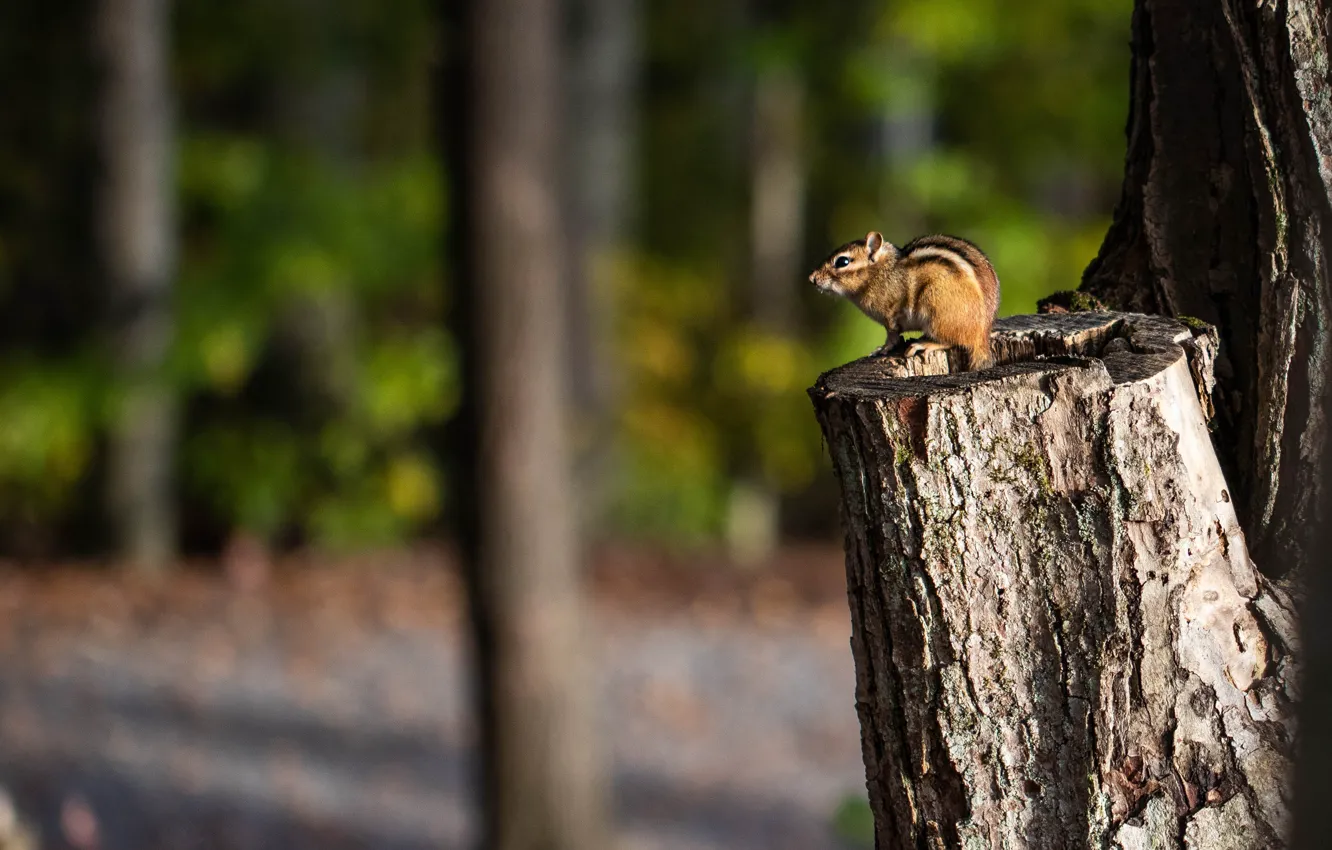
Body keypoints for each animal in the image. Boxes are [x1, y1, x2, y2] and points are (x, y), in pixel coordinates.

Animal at [809, 231, 1001, 371]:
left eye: (842, 261)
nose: (812, 278)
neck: (880, 272)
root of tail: (982, 335)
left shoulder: (890, 316)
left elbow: (892, 336)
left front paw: (883, 349)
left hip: (936, 309)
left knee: (951, 341)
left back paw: (924, 344)